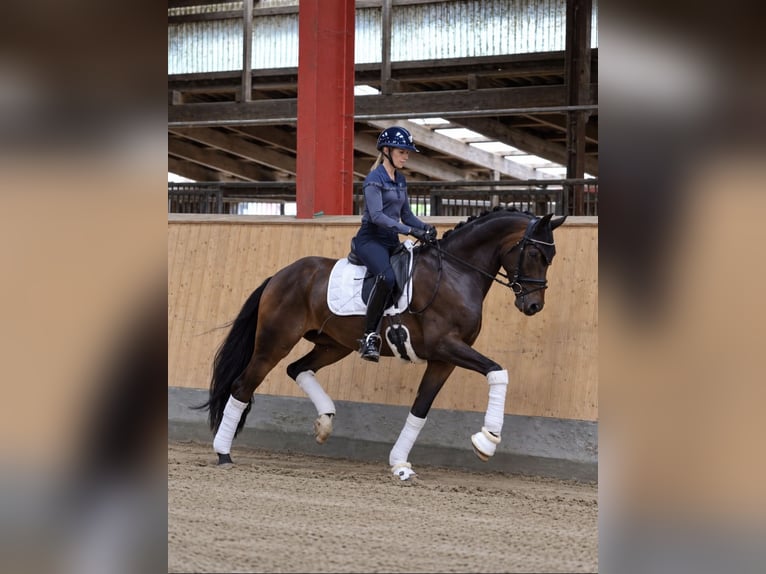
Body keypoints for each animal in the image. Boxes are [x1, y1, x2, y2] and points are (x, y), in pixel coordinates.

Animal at [197, 207, 567, 480]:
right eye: (535, 252)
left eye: (550, 256)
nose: (533, 305)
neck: (455, 273)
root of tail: (281, 275)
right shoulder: (446, 346)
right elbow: (498, 371)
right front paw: (487, 441)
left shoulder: (443, 360)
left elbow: (420, 410)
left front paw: (400, 464)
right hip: (275, 341)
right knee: (243, 386)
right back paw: (223, 453)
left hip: (334, 344)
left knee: (296, 369)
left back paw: (325, 422)